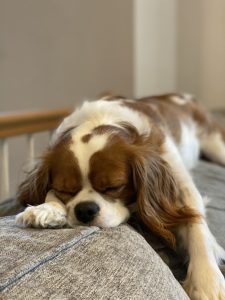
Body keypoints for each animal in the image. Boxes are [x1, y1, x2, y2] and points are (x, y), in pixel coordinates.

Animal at [15, 92, 225, 298]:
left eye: (113, 187)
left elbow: (195, 223)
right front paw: (46, 209)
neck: (99, 118)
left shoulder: (178, 179)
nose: (85, 210)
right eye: (65, 190)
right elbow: (48, 194)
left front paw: (207, 281)